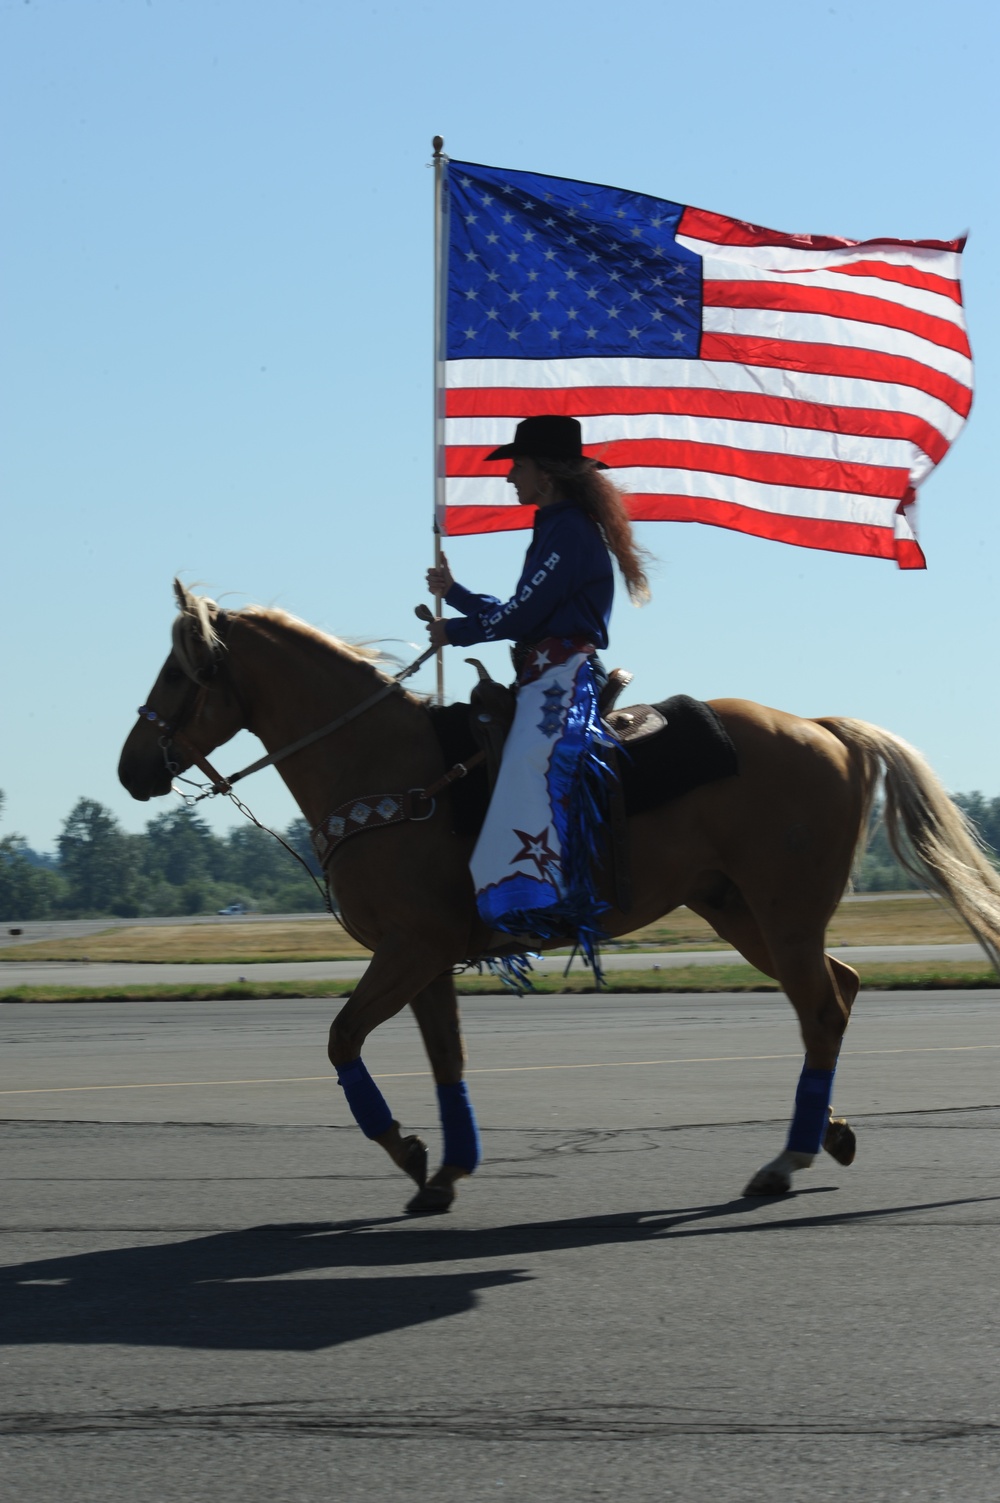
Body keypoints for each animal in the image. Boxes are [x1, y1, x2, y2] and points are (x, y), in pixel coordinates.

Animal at [121, 580, 998, 1214]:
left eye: (177, 671)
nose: (132, 767)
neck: (386, 769)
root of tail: (824, 726)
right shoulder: (426, 959)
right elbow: (445, 1057)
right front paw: (446, 1168)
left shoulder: (409, 948)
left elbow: (342, 1039)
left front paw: (409, 1150)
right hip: (738, 908)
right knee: (834, 992)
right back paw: (825, 1135)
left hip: (782, 909)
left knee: (819, 1005)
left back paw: (786, 1157)